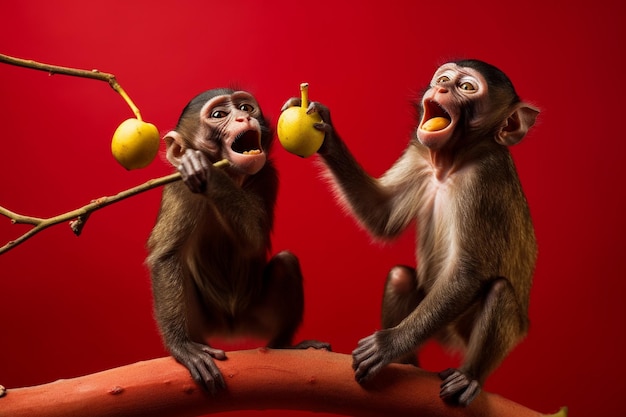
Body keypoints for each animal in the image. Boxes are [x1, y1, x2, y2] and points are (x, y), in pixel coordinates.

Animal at [147, 88, 330, 394]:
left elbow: (253, 241)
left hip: (254, 315)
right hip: (203, 323)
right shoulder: (178, 185)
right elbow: (165, 255)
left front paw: (208, 171)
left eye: (246, 108)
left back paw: (283, 345)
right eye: (219, 115)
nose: (244, 117)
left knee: (286, 263)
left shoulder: (267, 173)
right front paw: (181, 347)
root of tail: (231, 329)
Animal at [282, 60, 536, 404]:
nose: (442, 88)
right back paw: (405, 364)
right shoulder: (419, 154)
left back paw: (468, 375)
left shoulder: (486, 176)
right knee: (401, 277)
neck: (450, 163)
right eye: (444, 79)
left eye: (466, 87)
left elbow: (469, 272)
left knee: (499, 292)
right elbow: (383, 215)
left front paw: (389, 344)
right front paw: (327, 131)